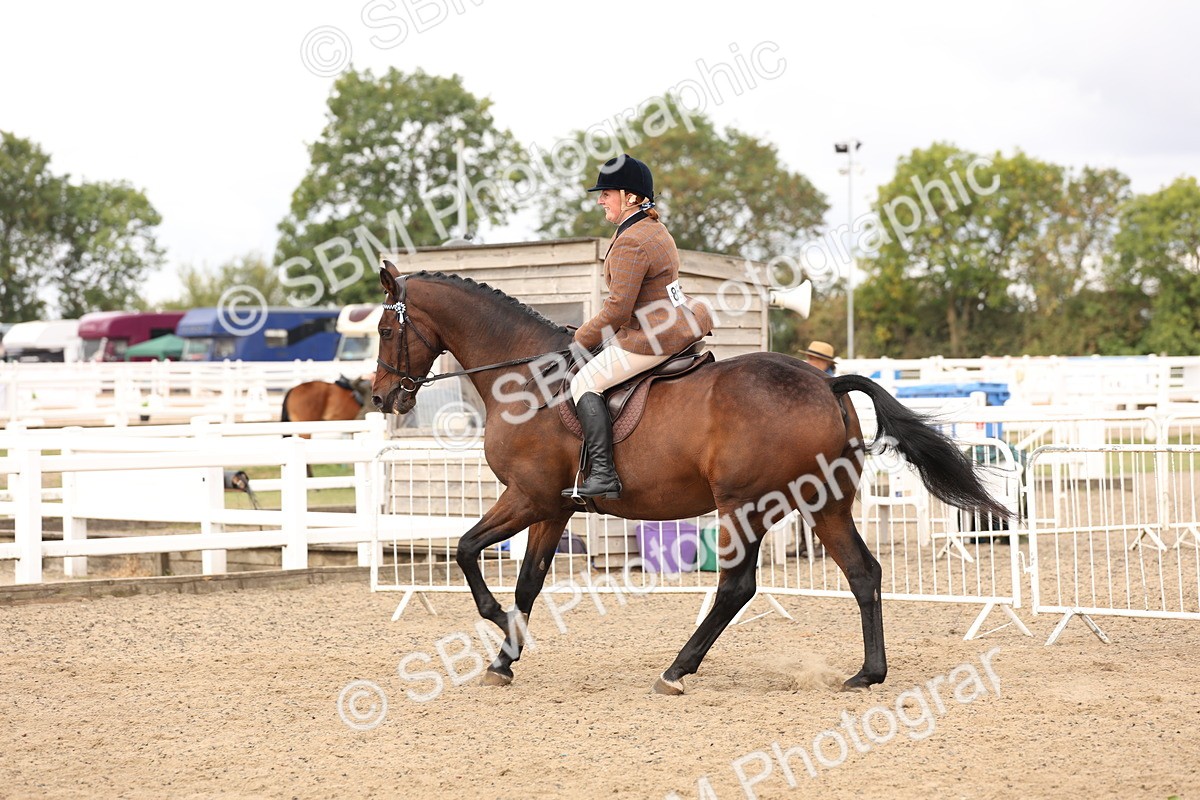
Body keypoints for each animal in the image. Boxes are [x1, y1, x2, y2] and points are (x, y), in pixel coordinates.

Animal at [370, 264, 1010, 695]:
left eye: (383, 329)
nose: (379, 398)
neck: (527, 379)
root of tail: (824, 383)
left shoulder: (528, 498)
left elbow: (466, 549)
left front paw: (500, 628)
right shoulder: (552, 509)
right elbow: (526, 583)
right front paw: (506, 656)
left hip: (745, 506)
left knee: (737, 587)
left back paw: (677, 670)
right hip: (821, 504)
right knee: (862, 573)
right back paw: (867, 674)